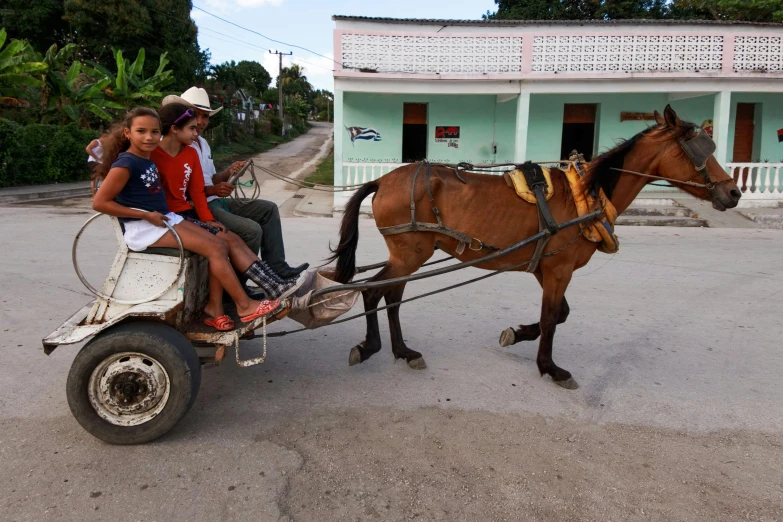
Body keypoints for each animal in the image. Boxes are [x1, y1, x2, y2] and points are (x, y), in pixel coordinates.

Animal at [330, 105, 740, 386]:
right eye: (698, 149)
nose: (733, 192)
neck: (586, 194)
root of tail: (382, 180)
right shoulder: (559, 270)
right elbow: (551, 317)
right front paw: (550, 367)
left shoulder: (549, 266)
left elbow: (559, 315)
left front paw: (517, 334)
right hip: (410, 253)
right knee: (376, 292)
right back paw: (372, 347)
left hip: (409, 254)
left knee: (391, 295)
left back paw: (402, 351)